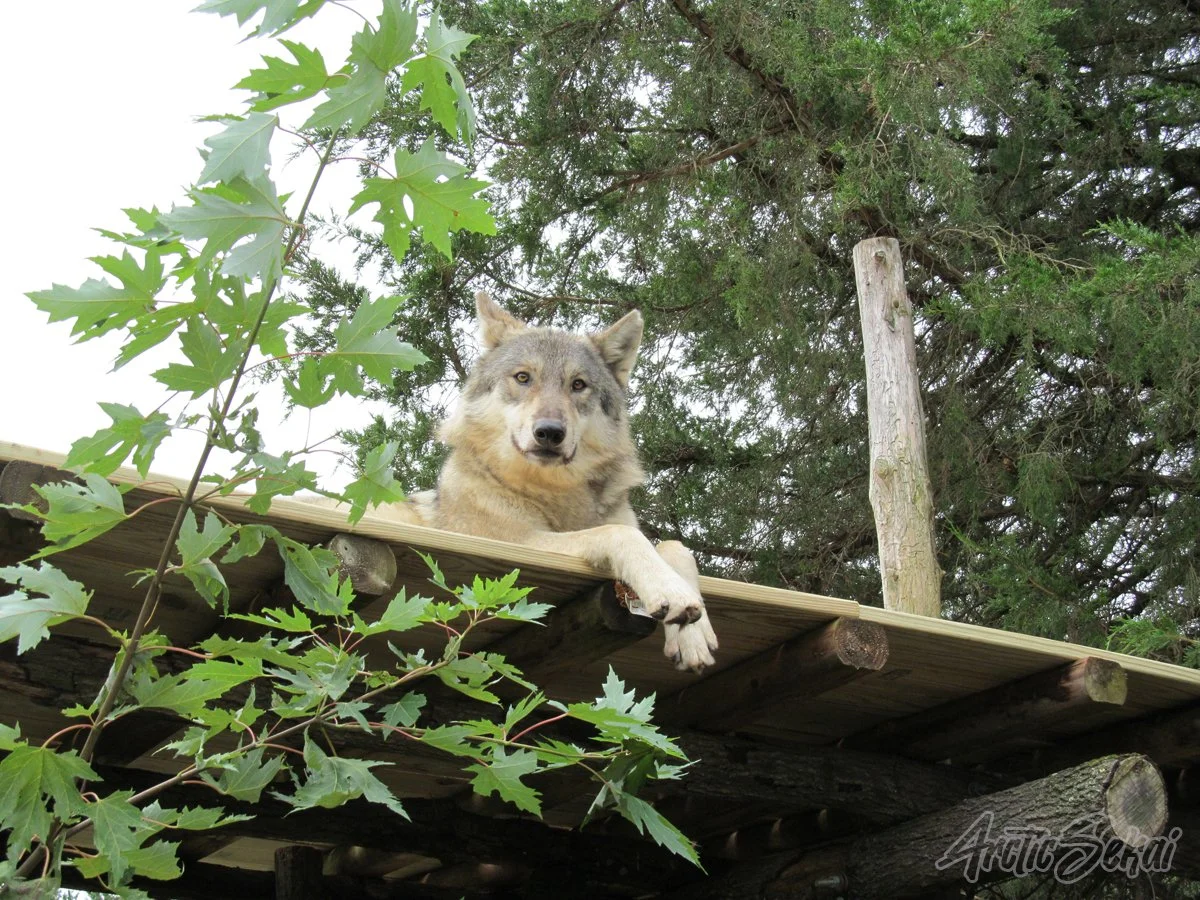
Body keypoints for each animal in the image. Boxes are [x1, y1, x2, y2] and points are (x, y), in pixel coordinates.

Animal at [388, 292, 718, 672]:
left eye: (578, 384)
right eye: (523, 377)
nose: (549, 432)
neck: (554, 493)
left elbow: (674, 546)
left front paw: (694, 632)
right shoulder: (519, 542)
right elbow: (621, 534)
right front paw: (671, 592)